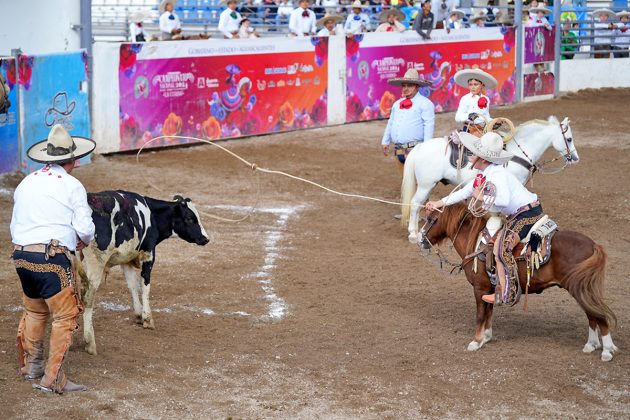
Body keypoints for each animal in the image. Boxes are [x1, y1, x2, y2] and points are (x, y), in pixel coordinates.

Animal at [79, 191, 210, 354]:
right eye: (189, 218)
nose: (206, 239)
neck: (151, 214)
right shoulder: (149, 254)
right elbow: (145, 285)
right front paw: (147, 318)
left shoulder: (126, 259)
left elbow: (132, 286)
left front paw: (138, 313)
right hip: (95, 263)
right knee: (87, 297)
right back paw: (90, 342)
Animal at [402, 117, 580, 243]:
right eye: (569, 139)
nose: (576, 158)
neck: (517, 152)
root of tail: (419, 147)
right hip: (426, 185)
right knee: (415, 204)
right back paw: (412, 233)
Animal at [418, 203, 620, 360]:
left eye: (431, 219)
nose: (420, 239)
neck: (476, 242)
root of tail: (593, 245)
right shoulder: (490, 288)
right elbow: (489, 312)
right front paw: (486, 337)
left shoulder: (479, 288)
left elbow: (480, 315)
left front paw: (475, 342)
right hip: (582, 289)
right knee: (592, 315)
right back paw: (591, 345)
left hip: (579, 289)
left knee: (599, 316)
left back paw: (607, 351)